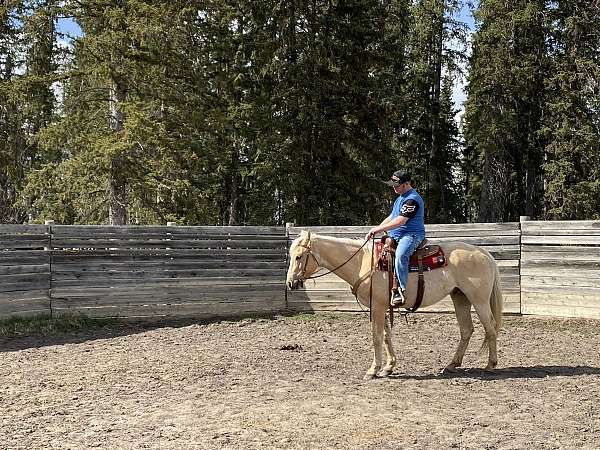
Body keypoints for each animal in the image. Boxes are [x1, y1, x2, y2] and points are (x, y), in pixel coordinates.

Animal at [288, 232, 504, 380]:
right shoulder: (382, 306)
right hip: (460, 297)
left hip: (479, 300)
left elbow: (376, 337)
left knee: (491, 327)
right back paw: (452, 364)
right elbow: (386, 336)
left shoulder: (376, 307)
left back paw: (490, 365)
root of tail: (483, 253)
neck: (362, 262)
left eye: (299, 256)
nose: (290, 283)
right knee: (467, 329)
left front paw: (373, 370)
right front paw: (388, 368)